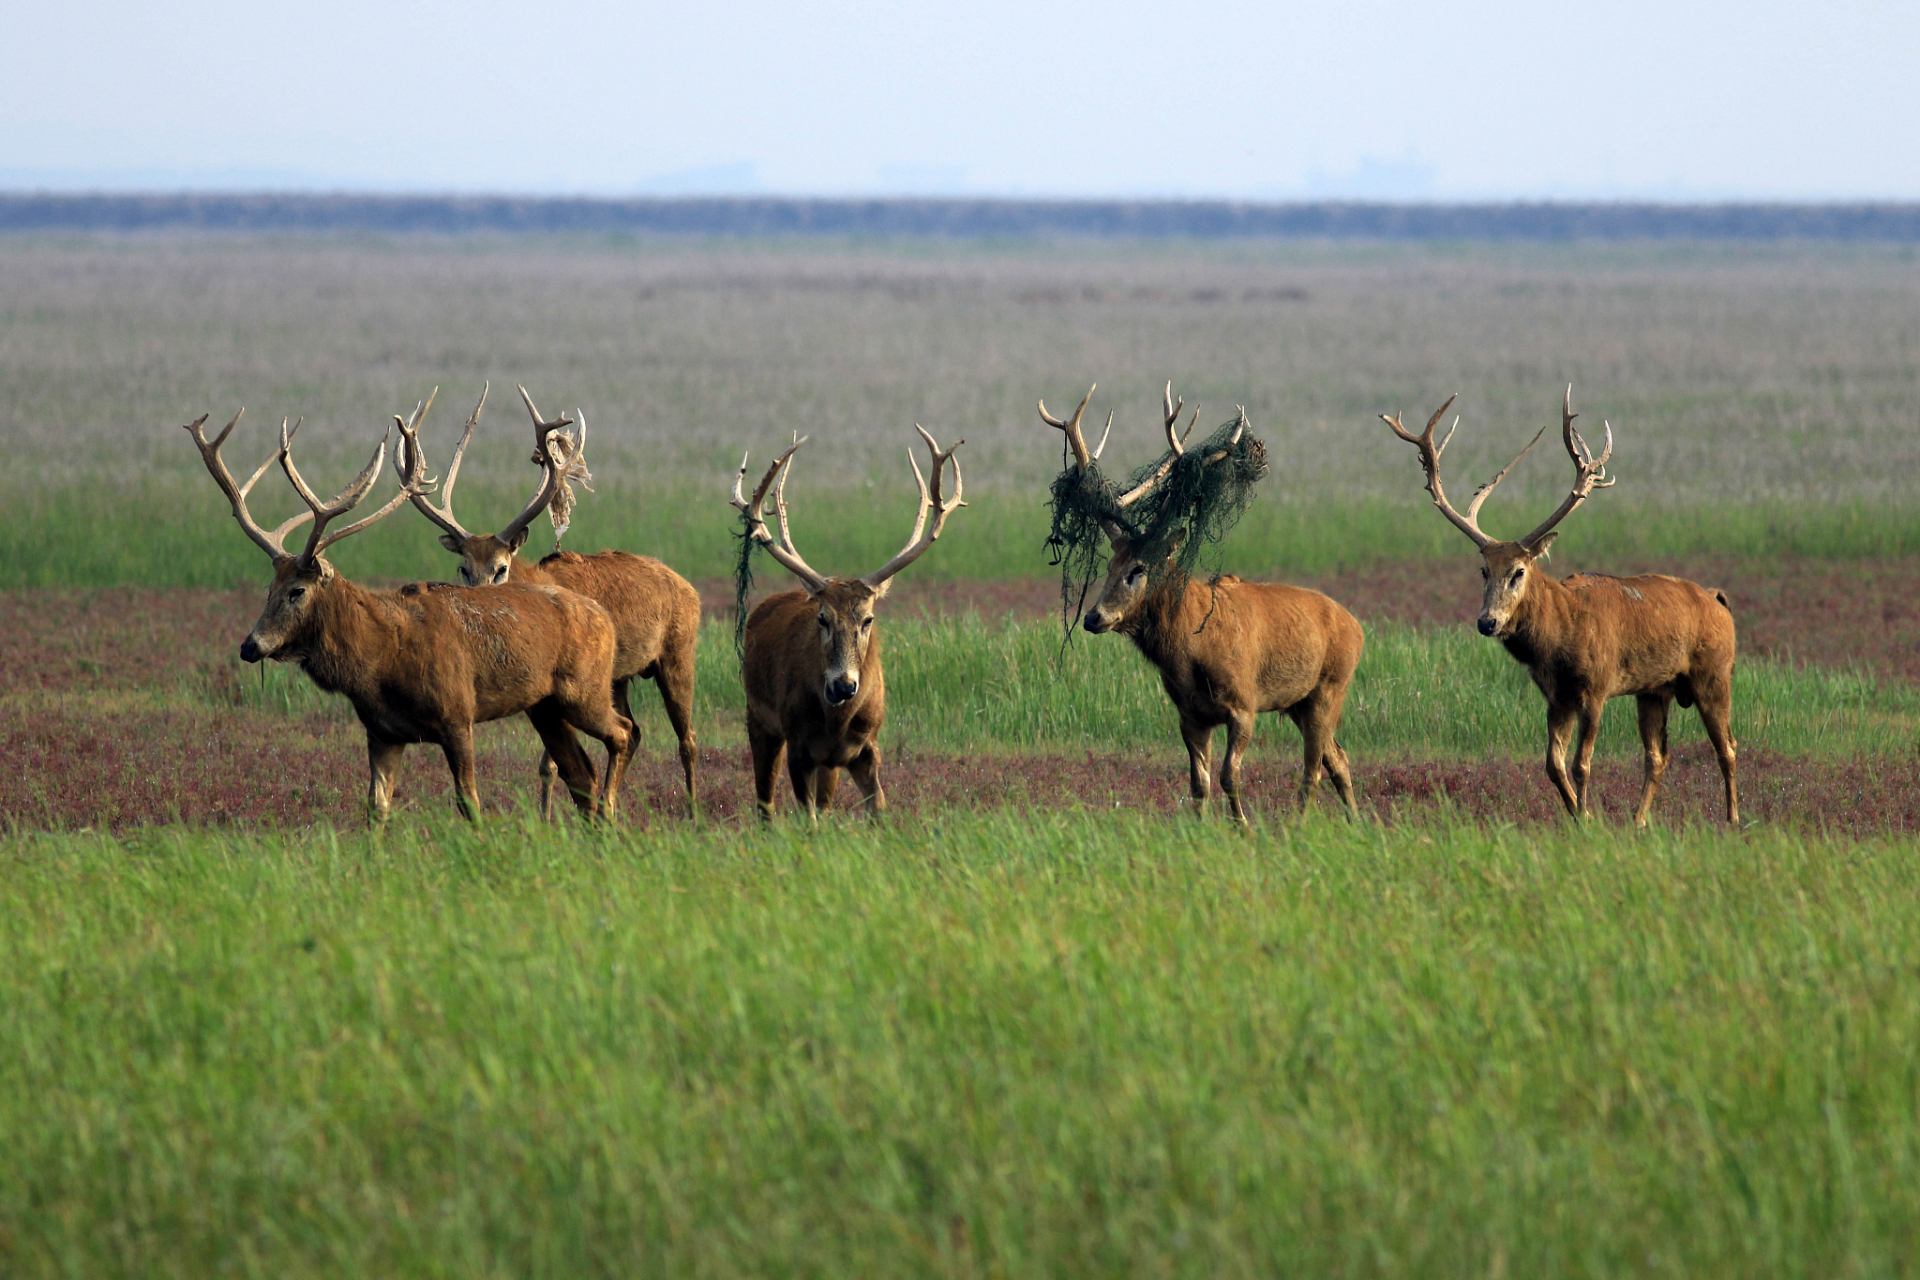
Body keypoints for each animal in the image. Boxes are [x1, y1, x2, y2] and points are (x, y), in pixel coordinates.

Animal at [185, 402, 629, 821]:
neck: (381, 662)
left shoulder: (457, 714)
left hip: (585, 689)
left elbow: (470, 803)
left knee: (623, 732)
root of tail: (604, 616)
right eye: (268, 588)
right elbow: (376, 806)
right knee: (581, 773)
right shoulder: (382, 731)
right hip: (547, 706)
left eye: (298, 590)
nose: (250, 646)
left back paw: (610, 814)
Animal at [393, 383, 702, 821]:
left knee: (686, 737)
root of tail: (687, 587)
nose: (480, 605)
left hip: (677, 652)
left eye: (501, 567)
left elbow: (554, 762)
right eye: (463, 568)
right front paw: (547, 817)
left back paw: (692, 812)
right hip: (618, 678)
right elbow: (551, 763)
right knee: (636, 730)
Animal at [721, 420, 960, 821]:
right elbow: (809, 820)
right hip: (758, 717)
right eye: (822, 618)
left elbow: (878, 808)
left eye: (868, 619)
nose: (843, 686)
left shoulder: (865, 748)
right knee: (764, 802)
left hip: (826, 761)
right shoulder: (799, 745)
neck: (836, 724)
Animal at [1382, 385, 1743, 825]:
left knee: (1727, 747)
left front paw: (1587, 818)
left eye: (1519, 570)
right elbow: (1553, 765)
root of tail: (1717, 599)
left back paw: (1732, 819)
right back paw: (1638, 821)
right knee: (1658, 755)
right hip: (1655, 688)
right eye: (1483, 570)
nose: (1487, 622)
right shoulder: (1557, 696)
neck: (1560, 640)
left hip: (1715, 673)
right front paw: (1578, 816)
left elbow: (1581, 764)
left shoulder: (1597, 686)